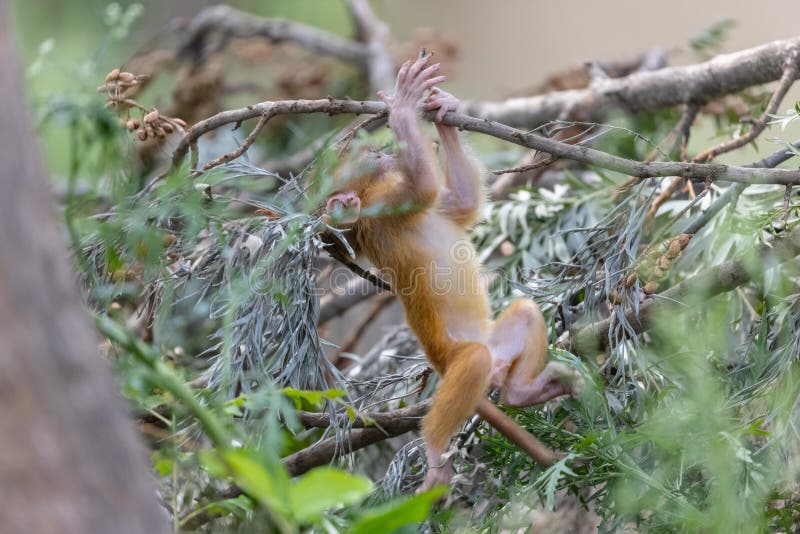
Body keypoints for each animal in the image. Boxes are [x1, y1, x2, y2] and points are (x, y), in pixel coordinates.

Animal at [324, 53, 583, 491]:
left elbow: (461, 202)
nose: (384, 153)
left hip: (499, 347)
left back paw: (520, 393)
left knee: (525, 315)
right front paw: (404, 107)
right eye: (369, 160)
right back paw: (434, 454)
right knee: (474, 362)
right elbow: (425, 188)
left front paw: (443, 111)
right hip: (456, 355)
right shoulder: (383, 205)